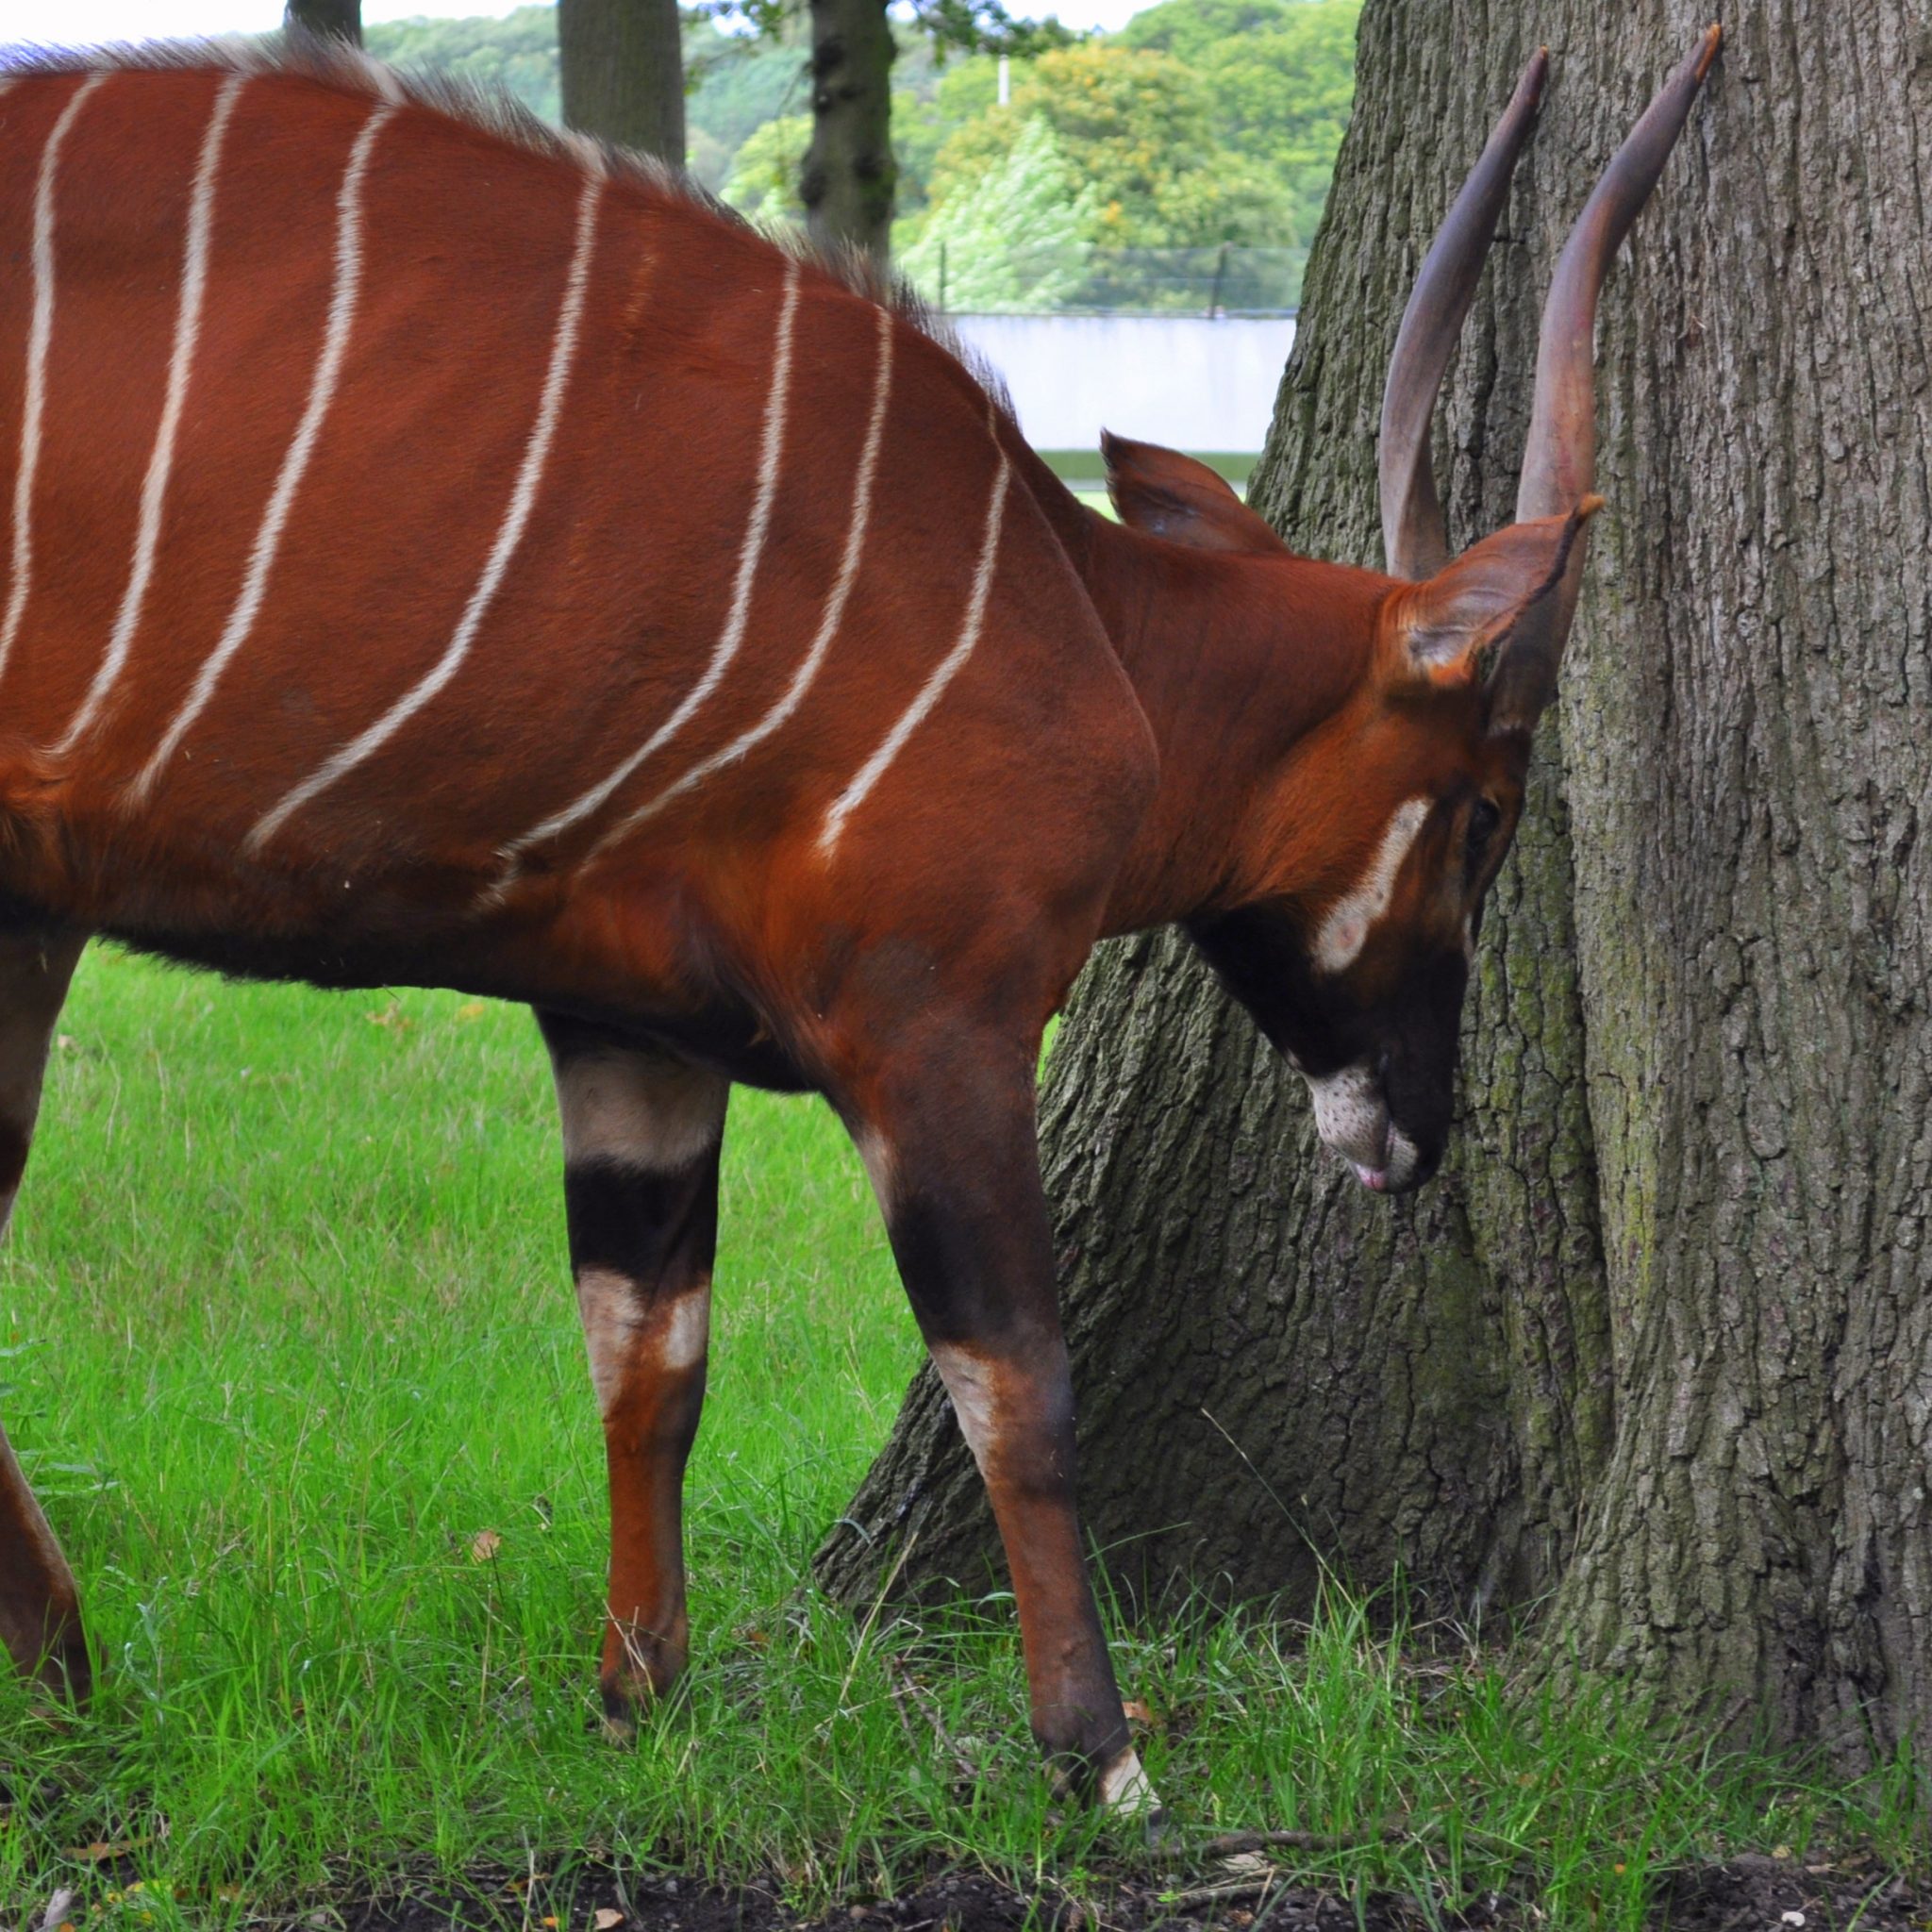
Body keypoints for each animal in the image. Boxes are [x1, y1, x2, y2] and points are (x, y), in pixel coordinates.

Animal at [0, 34, 1723, 1807]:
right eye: (1488, 807)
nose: (1412, 1130)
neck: (1094, 631)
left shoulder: (632, 1026)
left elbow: (649, 1360)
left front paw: (639, 1698)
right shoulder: (934, 1017)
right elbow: (1016, 1378)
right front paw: (1100, 1757)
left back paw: (68, 1682)